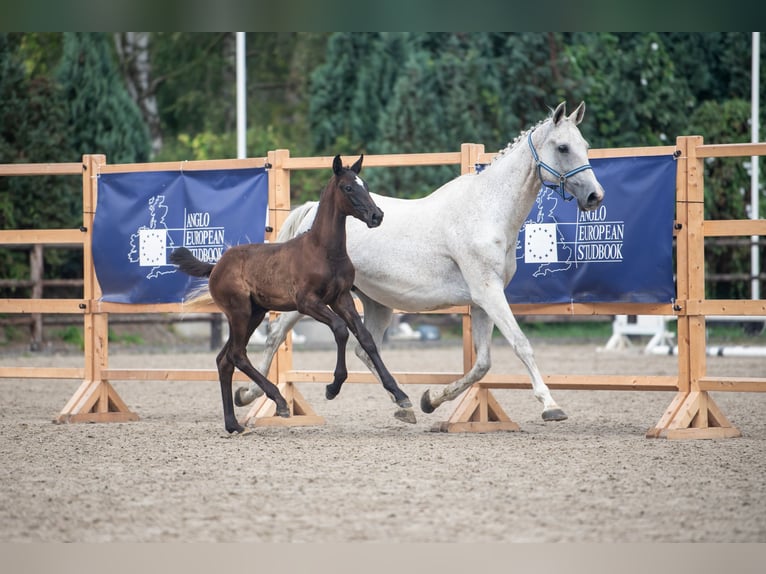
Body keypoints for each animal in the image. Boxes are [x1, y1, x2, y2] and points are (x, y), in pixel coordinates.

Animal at [172, 155, 416, 434]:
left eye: (364, 184)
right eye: (348, 188)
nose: (377, 215)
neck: (323, 251)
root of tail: (216, 266)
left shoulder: (341, 298)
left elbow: (365, 338)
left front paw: (400, 395)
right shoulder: (307, 302)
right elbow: (340, 329)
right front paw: (333, 387)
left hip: (254, 313)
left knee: (225, 359)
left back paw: (233, 424)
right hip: (239, 312)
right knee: (237, 354)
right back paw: (278, 401)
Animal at [236, 101, 608, 420]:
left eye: (586, 145)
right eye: (563, 147)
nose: (595, 196)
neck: (487, 210)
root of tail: (313, 210)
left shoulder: (482, 300)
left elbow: (482, 364)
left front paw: (431, 399)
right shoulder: (488, 292)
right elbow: (521, 345)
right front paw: (551, 405)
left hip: (375, 304)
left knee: (363, 348)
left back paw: (404, 406)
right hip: (309, 300)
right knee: (275, 336)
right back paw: (250, 396)